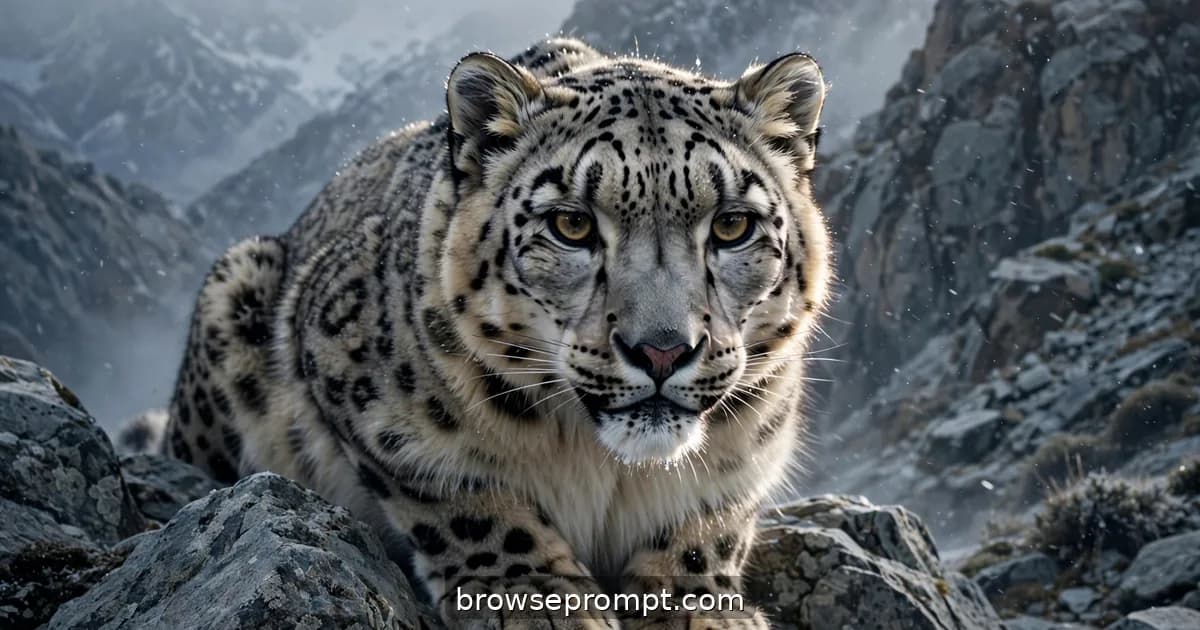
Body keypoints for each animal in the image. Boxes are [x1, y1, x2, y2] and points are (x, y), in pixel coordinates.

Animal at [155, 37, 831, 629]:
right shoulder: (365, 396)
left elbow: (710, 521)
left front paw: (700, 606)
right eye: (571, 224)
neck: (608, 466)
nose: (661, 350)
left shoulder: (754, 442)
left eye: (732, 225)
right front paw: (537, 597)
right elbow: (465, 498)